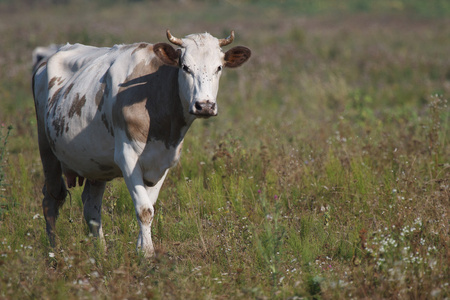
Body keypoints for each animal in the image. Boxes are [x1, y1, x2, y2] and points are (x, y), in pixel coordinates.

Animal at [33, 30, 251, 256]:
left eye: (219, 67)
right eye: (185, 67)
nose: (205, 105)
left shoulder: (164, 161)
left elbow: (150, 205)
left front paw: (140, 247)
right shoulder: (127, 157)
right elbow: (144, 209)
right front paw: (147, 252)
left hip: (96, 164)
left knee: (91, 207)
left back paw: (101, 252)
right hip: (47, 150)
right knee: (51, 200)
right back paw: (54, 251)